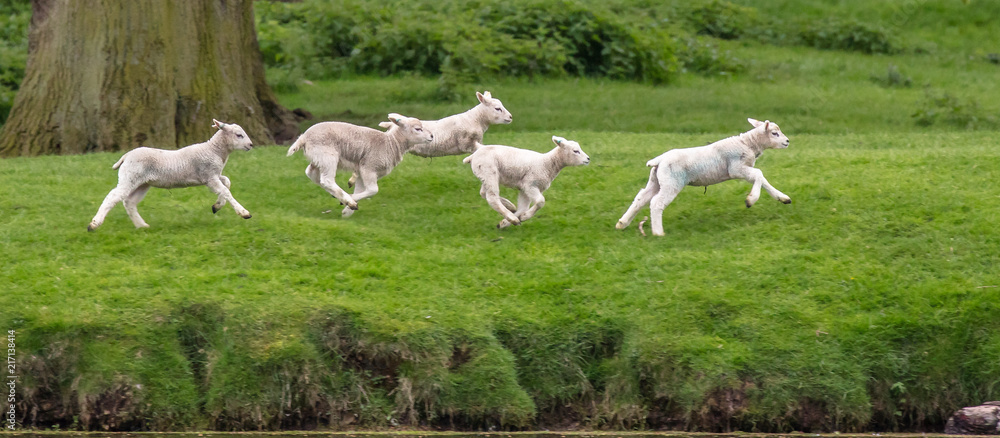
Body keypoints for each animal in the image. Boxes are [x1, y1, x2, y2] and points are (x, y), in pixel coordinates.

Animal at [87, 118, 254, 231]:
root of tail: (126, 156)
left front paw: (217, 206)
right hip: (130, 178)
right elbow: (225, 190)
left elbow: (227, 183)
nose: (251, 145)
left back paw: (142, 226)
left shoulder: (212, 176)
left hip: (142, 183)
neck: (214, 150)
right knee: (113, 196)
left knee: (129, 202)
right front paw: (244, 213)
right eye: (239, 135)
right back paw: (94, 224)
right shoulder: (209, 176)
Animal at [286, 113, 434, 216]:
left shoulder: (363, 172)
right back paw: (348, 200)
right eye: (418, 129)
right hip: (328, 156)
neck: (391, 144)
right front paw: (351, 203)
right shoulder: (369, 167)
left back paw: (341, 197)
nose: (432, 136)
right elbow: (373, 190)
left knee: (312, 175)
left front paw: (346, 212)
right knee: (327, 180)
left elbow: (362, 190)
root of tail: (304, 138)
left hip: (319, 158)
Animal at [348, 91, 512, 187]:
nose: (510, 117)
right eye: (497, 108)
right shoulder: (466, 143)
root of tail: (392, 124)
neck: (476, 119)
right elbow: (480, 148)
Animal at [612, 117, 792, 236]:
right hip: (672, 182)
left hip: (656, 180)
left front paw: (783, 198)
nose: (787, 141)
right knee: (657, 203)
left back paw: (622, 223)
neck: (748, 143)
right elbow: (759, 174)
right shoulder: (736, 168)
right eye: (774, 133)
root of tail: (658, 160)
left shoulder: (742, 169)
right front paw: (750, 200)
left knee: (641, 198)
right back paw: (658, 233)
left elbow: (762, 179)